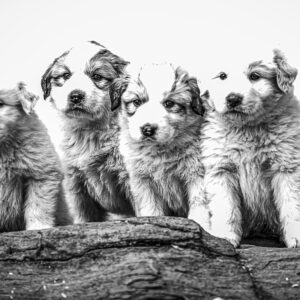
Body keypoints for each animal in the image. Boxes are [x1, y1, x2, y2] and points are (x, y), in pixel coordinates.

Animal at [40, 40, 134, 223]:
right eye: (66, 76)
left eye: (97, 76)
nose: (76, 96)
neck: (90, 132)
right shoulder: (76, 184)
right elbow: (83, 216)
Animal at [111, 62, 207, 223]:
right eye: (137, 102)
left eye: (169, 103)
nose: (148, 130)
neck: (159, 151)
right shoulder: (142, 182)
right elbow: (151, 209)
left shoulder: (196, 175)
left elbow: (199, 206)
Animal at [199, 48, 300, 246]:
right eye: (222, 76)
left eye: (255, 76)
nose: (232, 98)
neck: (248, 129)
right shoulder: (221, 169)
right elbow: (226, 208)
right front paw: (224, 236)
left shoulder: (287, 167)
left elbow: (292, 206)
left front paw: (296, 237)